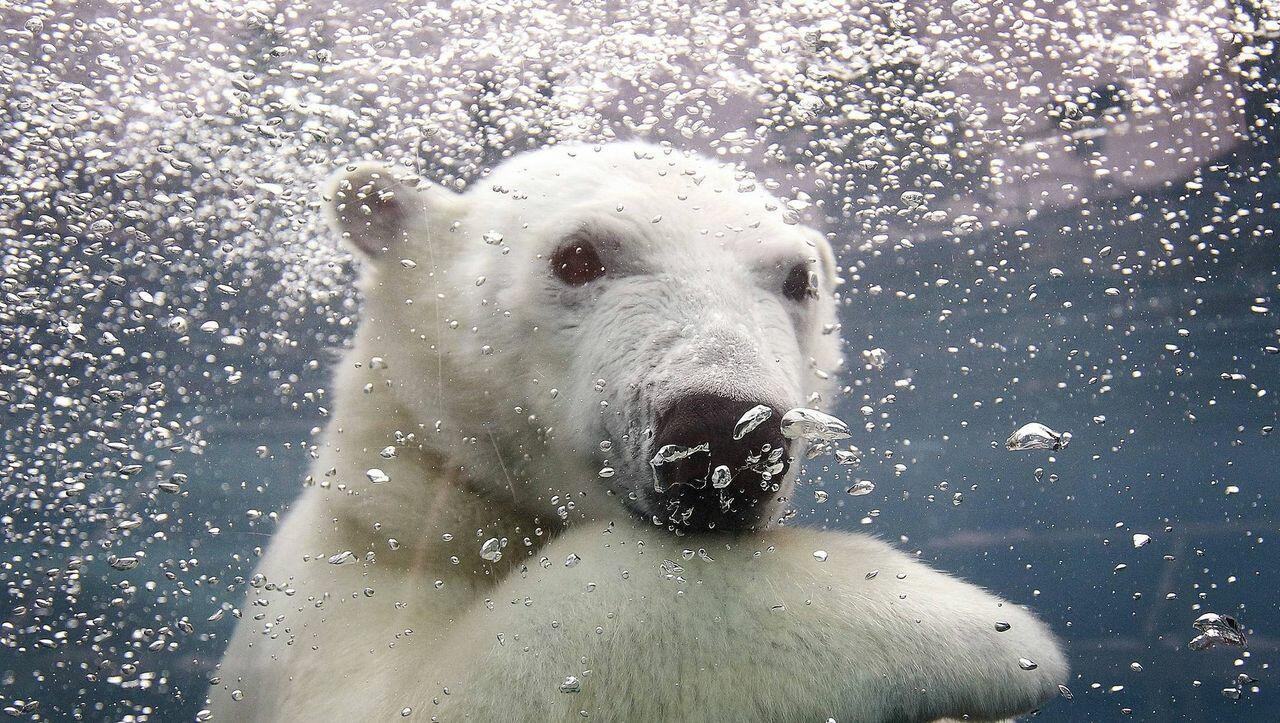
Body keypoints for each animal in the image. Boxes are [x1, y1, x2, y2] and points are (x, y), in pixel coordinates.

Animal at [212, 143, 1070, 716]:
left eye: (799, 278)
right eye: (577, 256)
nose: (723, 432)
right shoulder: (345, 580)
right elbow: (446, 685)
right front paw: (976, 626)